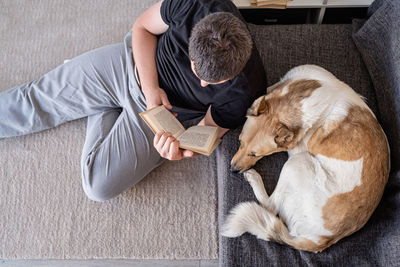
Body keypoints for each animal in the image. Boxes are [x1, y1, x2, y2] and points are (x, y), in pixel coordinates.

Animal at [220, 65, 390, 253]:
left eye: (255, 155)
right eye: (239, 142)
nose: (232, 170)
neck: (293, 105)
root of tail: (320, 240)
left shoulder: (298, 149)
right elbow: (268, 89)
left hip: (298, 163)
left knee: (271, 205)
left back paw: (253, 177)